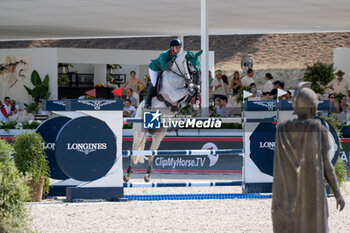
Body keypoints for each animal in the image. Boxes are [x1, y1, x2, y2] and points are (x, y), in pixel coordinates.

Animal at [123, 50, 202, 183]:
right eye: (190, 63)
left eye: (199, 63)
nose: (197, 80)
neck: (179, 76)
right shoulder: (173, 94)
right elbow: (190, 90)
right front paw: (188, 100)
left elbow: (195, 89)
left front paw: (194, 102)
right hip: (139, 133)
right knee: (134, 151)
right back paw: (127, 175)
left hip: (158, 136)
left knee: (152, 152)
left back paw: (148, 176)